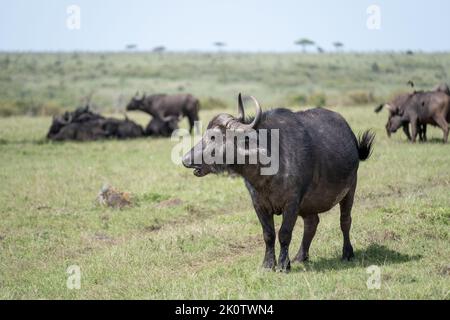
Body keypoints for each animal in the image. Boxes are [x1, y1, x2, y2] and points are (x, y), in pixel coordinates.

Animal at [181, 94, 374, 272]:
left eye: (214, 137)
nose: (186, 159)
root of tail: (350, 135)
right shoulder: (259, 204)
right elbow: (268, 234)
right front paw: (268, 264)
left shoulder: (292, 203)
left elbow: (284, 233)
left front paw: (282, 265)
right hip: (308, 205)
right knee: (312, 223)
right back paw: (300, 256)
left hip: (350, 190)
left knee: (345, 221)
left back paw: (347, 253)